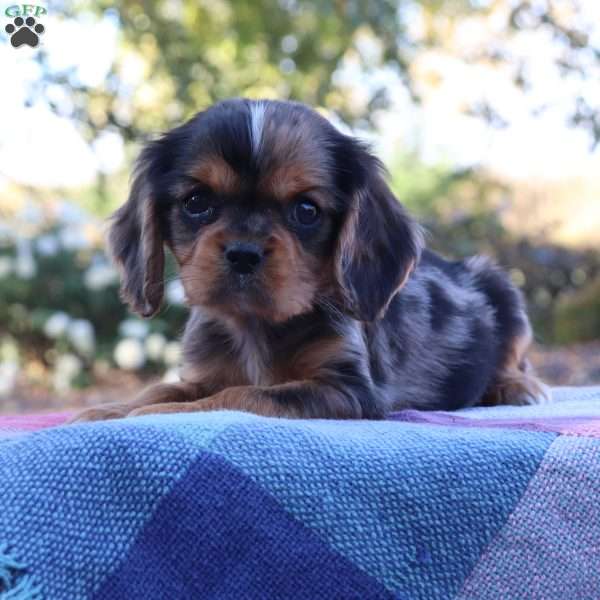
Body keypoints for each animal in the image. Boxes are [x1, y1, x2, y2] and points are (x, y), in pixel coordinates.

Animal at [70, 98, 548, 422]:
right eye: (196, 202)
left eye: (306, 210)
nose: (243, 253)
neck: (256, 327)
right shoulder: (202, 376)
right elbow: (163, 388)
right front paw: (110, 410)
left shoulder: (344, 390)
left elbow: (244, 395)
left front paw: (158, 415)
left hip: (504, 290)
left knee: (517, 358)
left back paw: (518, 387)